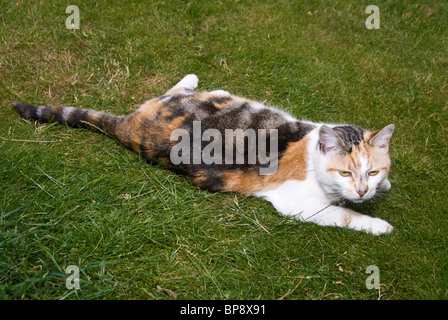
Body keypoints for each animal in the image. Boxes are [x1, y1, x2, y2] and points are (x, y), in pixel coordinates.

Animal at [12, 74, 394, 235]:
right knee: (171, 90)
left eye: (373, 172)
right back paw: (195, 79)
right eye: (345, 173)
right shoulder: (297, 205)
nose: (364, 191)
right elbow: (343, 217)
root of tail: (127, 126)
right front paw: (379, 225)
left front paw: (384, 189)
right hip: (185, 100)